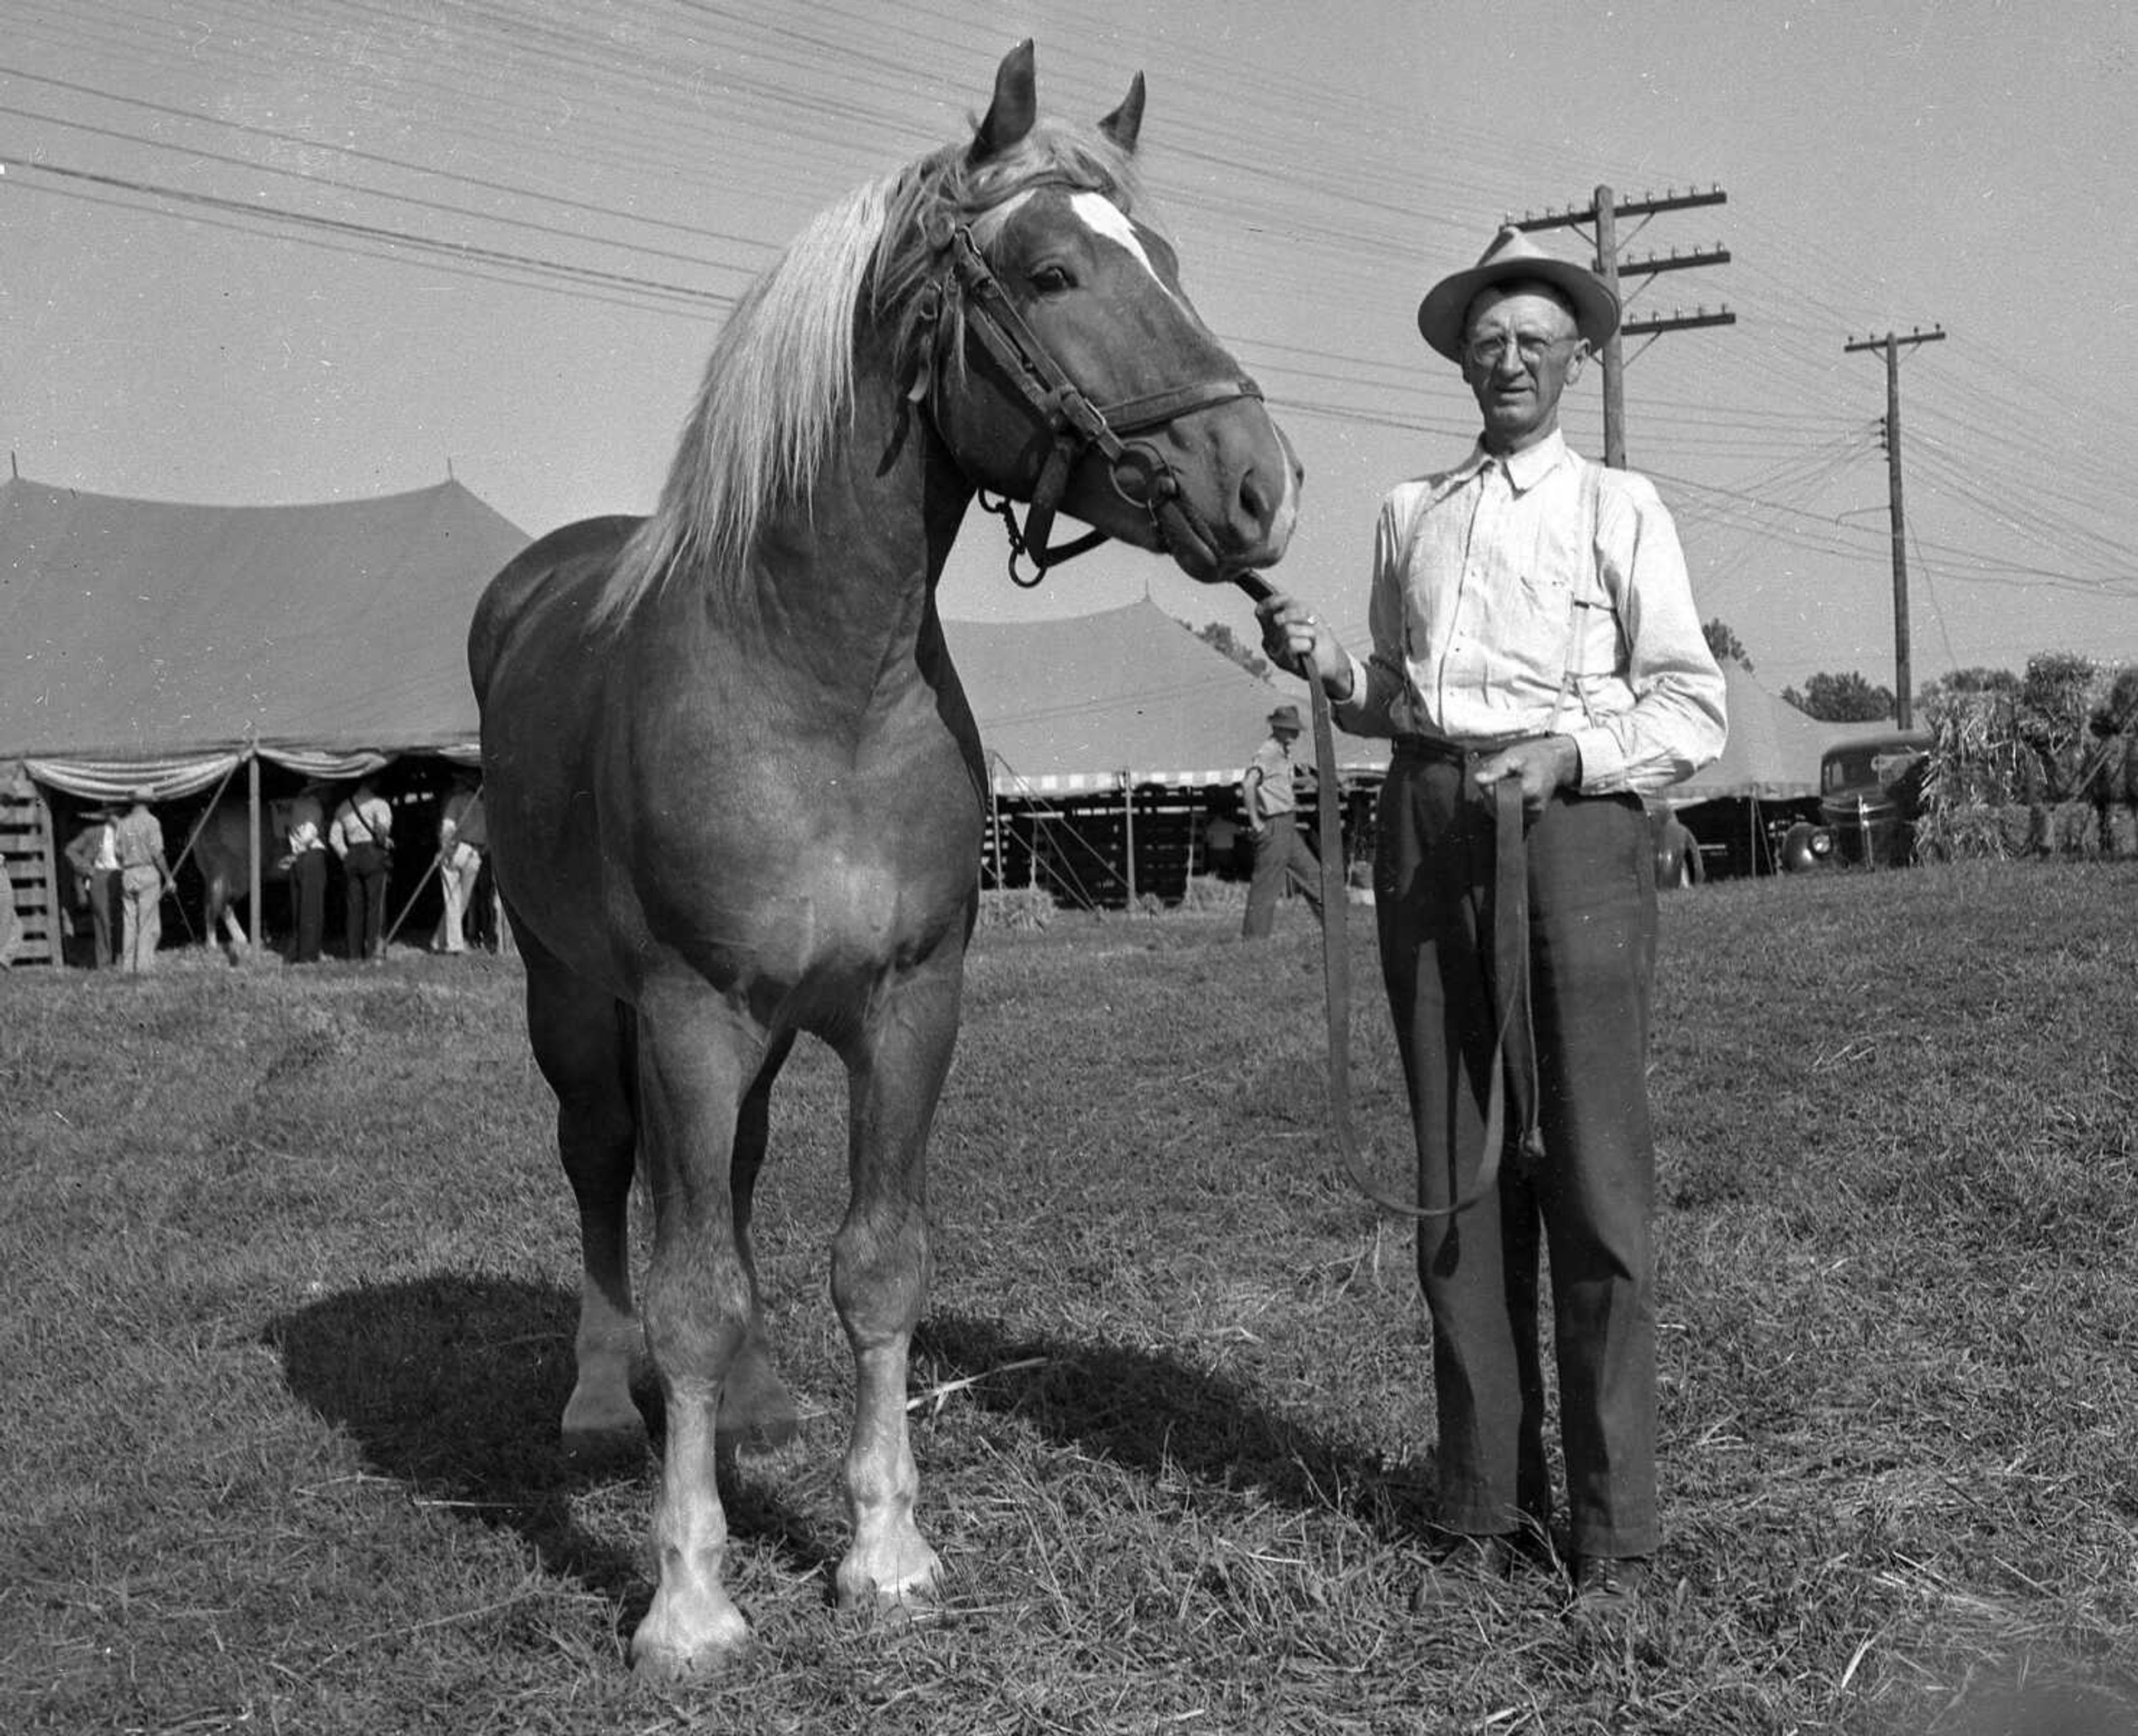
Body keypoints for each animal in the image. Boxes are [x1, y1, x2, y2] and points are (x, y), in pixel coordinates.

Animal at [466, 44, 1291, 1684]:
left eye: (1166, 260)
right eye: (1050, 271)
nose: (1260, 481)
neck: (817, 679)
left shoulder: (906, 1004)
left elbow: (874, 1262)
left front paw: (885, 1552)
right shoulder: (691, 1011)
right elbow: (688, 1286)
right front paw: (690, 1600)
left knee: (722, 1180)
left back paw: (753, 1406)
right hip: (576, 1000)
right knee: (604, 1170)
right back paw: (597, 1397)